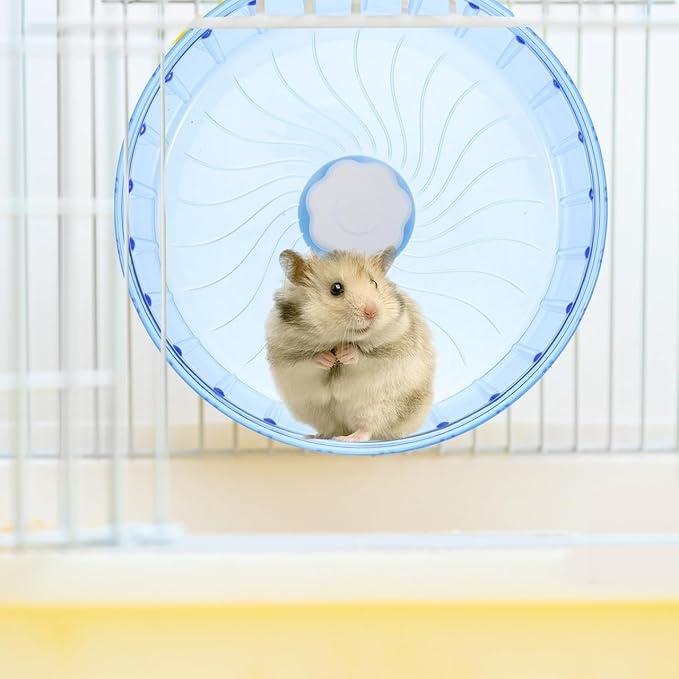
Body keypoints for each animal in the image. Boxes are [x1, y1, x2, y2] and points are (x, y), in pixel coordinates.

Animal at [266, 247, 435, 442]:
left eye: (374, 283)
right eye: (336, 288)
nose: (372, 312)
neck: (338, 339)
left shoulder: (393, 344)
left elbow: (364, 356)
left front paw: (344, 354)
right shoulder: (286, 352)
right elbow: (308, 359)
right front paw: (328, 359)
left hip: (380, 407)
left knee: (367, 428)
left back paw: (348, 438)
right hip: (316, 411)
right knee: (330, 429)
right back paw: (314, 436)